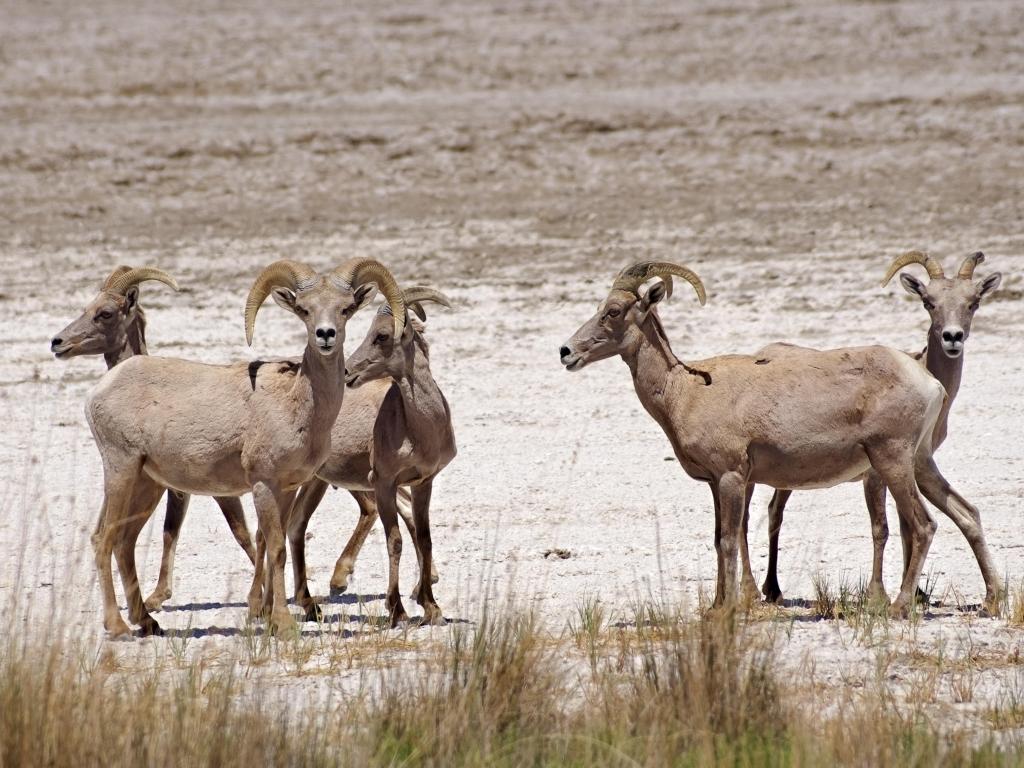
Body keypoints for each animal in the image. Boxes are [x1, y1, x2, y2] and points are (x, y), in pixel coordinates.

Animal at [49, 264, 258, 606]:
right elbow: (169, 531)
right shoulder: (175, 489)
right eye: (87, 307)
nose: (58, 342)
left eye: (105, 313)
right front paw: (158, 596)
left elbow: (237, 533)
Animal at [84, 259, 403, 638]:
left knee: (125, 542)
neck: (297, 403)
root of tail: (100, 390)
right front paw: (282, 623)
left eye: (345, 309)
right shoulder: (263, 485)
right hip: (121, 471)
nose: (325, 335)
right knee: (104, 539)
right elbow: (275, 548)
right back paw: (118, 625)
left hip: (148, 484)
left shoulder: (286, 489)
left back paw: (148, 621)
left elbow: (272, 545)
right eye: (305, 310)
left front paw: (268, 616)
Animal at [284, 286, 452, 622]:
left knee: (295, 527)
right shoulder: (383, 482)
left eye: (382, 335)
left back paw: (310, 603)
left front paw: (431, 607)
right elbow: (395, 541)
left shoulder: (423, 483)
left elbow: (424, 538)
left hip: (315, 482)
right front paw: (397, 610)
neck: (420, 429)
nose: (348, 372)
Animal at [561, 262, 966, 618]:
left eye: (613, 311)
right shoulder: (716, 483)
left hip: (892, 461)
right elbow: (717, 538)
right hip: (915, 462)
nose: (566, 352)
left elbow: (728, 540)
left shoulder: (731, 477)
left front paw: (727, 609)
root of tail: (928, 382)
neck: (686, 391)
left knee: (923, 526)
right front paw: (715, 607)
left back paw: (897, 607)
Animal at [749, 252, 1003, 614]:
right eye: (929, 302)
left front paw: (917, 594)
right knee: (774, 514)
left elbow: (904, 525)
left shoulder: (909, 466)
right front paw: (879, 595)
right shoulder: (876, 474)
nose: (952, 337)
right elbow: (882, 528)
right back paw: (772, 589)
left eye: (973, 302)